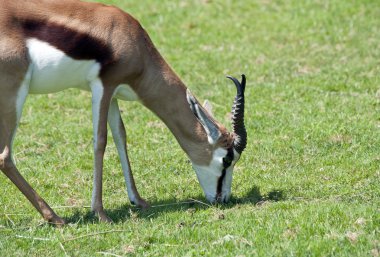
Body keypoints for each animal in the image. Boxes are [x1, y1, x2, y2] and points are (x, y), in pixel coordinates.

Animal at [0, 0, 246, 224]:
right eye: (227, 159)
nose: (223, 199)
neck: (131, 39)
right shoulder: (103, 86)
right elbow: (100, 142)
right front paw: (100, 213)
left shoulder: (114, 95)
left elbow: (121, 136)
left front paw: (138, 200)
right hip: (14, 94)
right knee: (5, 156)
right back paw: (54, 217)